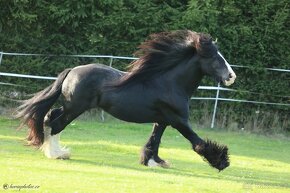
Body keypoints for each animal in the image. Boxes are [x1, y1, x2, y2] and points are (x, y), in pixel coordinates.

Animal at [15, 29, 236, 170]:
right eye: (215, 58)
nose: (231, 77)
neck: (170, 83)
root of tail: (71, 71)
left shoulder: (162, 120)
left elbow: (154, 141)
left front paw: (155, 162)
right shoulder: (178, 121)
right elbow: (197, 142)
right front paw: (221, 161)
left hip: (70, 106)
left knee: (50, 117)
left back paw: (56, 150)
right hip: (75, 108)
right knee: (55, 124)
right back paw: (57, 154)